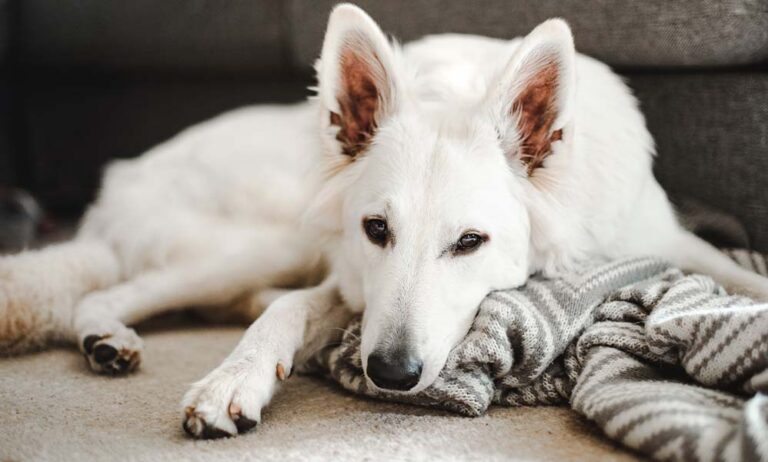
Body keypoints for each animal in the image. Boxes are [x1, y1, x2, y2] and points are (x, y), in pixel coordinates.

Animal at [1, 2, 768, 436]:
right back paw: (106, 335)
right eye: (377, 230)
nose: (391, 373)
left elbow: (743, 278)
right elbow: (285, 314)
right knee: (117, 288)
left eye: (470, 242)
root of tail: (122, 175)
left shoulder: (668, 241)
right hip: (265, 239)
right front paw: (234, 377)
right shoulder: (349, 278)